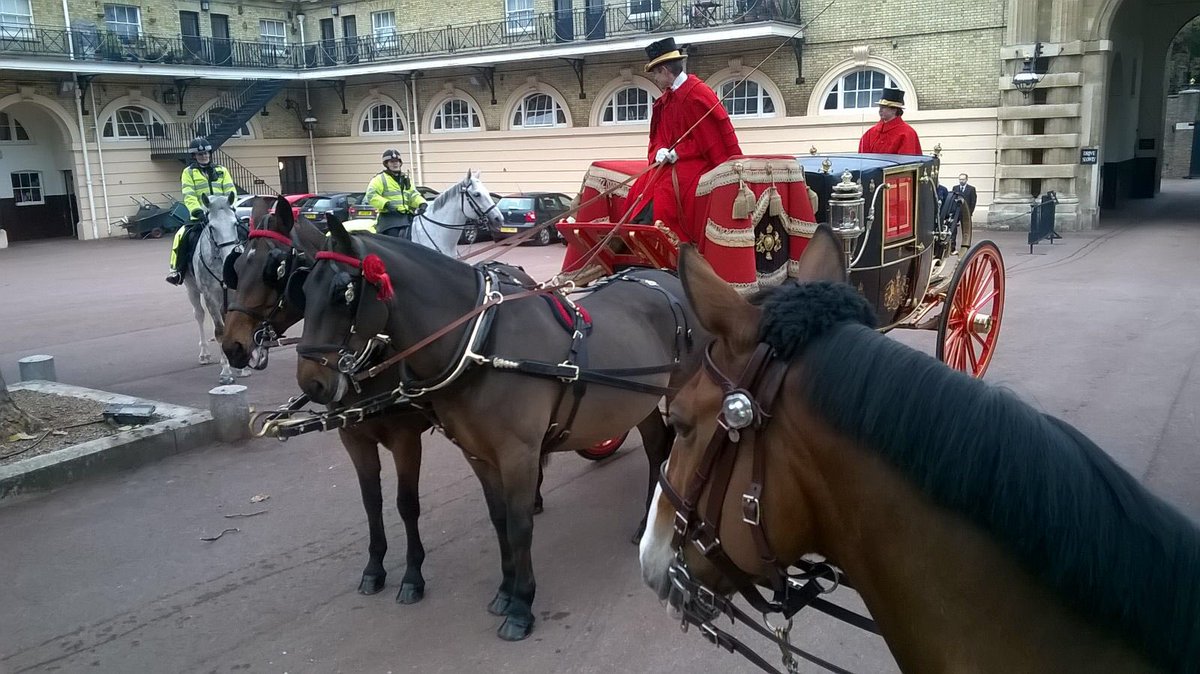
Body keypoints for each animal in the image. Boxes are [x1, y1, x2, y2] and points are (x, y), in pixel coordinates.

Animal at [181, 191, 247, 386]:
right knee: (199, 315)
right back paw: (204, 353)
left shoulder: (234, 294)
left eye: (235, 223)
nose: (231, 256)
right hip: (192, 289)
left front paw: (242, 367)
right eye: (212, 227)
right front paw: (226, 371)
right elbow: (220, 331)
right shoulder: (210, 297)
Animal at [218, 184, 532, 604]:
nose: (232, 347)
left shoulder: (405, 438)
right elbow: (372, 502)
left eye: (277, 270)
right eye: (237, 268)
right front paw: (375, 566)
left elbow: (406, 504)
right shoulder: (354, 437)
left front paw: (412, 574)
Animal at [294, 218, 705, 638]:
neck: (480, 341)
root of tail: (667, 278)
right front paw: (506, 592)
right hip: (638, 402)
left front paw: (522, 605)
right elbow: (499, 520)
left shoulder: (515, 453)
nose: (312, 384)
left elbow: (519, 525)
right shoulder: (478, 454)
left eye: (342, 293)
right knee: (657, 446)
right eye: (304, 289)